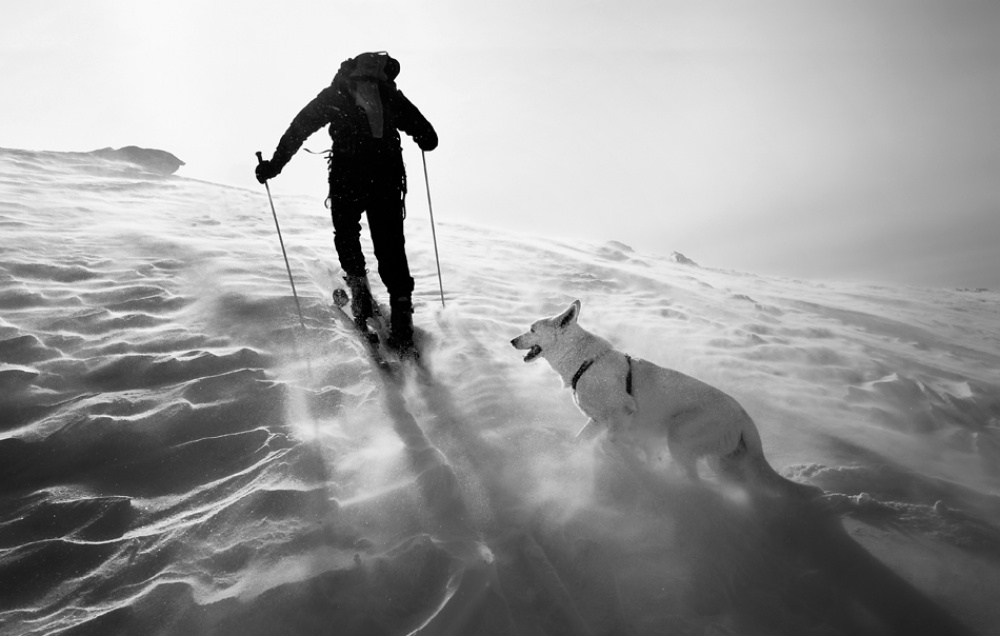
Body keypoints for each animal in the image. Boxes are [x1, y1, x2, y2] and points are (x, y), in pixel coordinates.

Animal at [516, 300, 820, 500]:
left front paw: (625, 460)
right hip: (721, 460)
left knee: (694, 478)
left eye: (531, 329)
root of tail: (744, 415)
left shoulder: (621, 414)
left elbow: (612, 441)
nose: (511, 341)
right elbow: (580, 441)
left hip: (681, 438)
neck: (585, 361)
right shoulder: (597, 422)